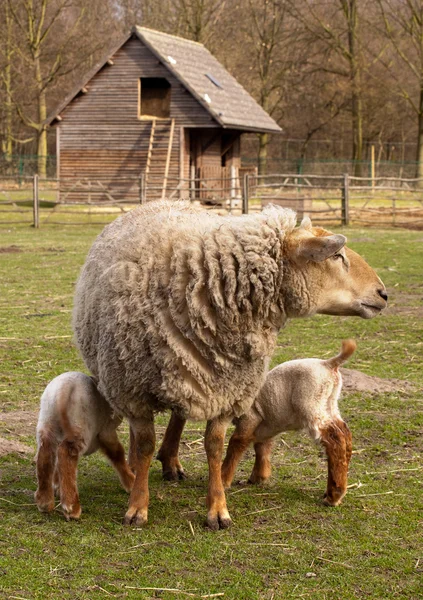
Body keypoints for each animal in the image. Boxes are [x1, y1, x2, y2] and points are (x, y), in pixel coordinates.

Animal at [35, 370, 135, 520]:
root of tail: (63, 390)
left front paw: (57, 486)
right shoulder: (106, 431)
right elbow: (117, 453)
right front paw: (131, 482)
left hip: (47, 423)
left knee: (46, 455)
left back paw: (45, 503)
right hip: (80, 428)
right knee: (65, 455)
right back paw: (72, 508)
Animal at [222, 338, 358, 506]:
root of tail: (329, 364)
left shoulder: (250, 417)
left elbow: (236, 443)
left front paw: (223, 479)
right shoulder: (265, 428)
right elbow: (262, 448)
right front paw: (258, 477)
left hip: (311, 406)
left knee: (335, 441)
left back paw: (334, 496)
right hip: (330, 404)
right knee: (345, 434)